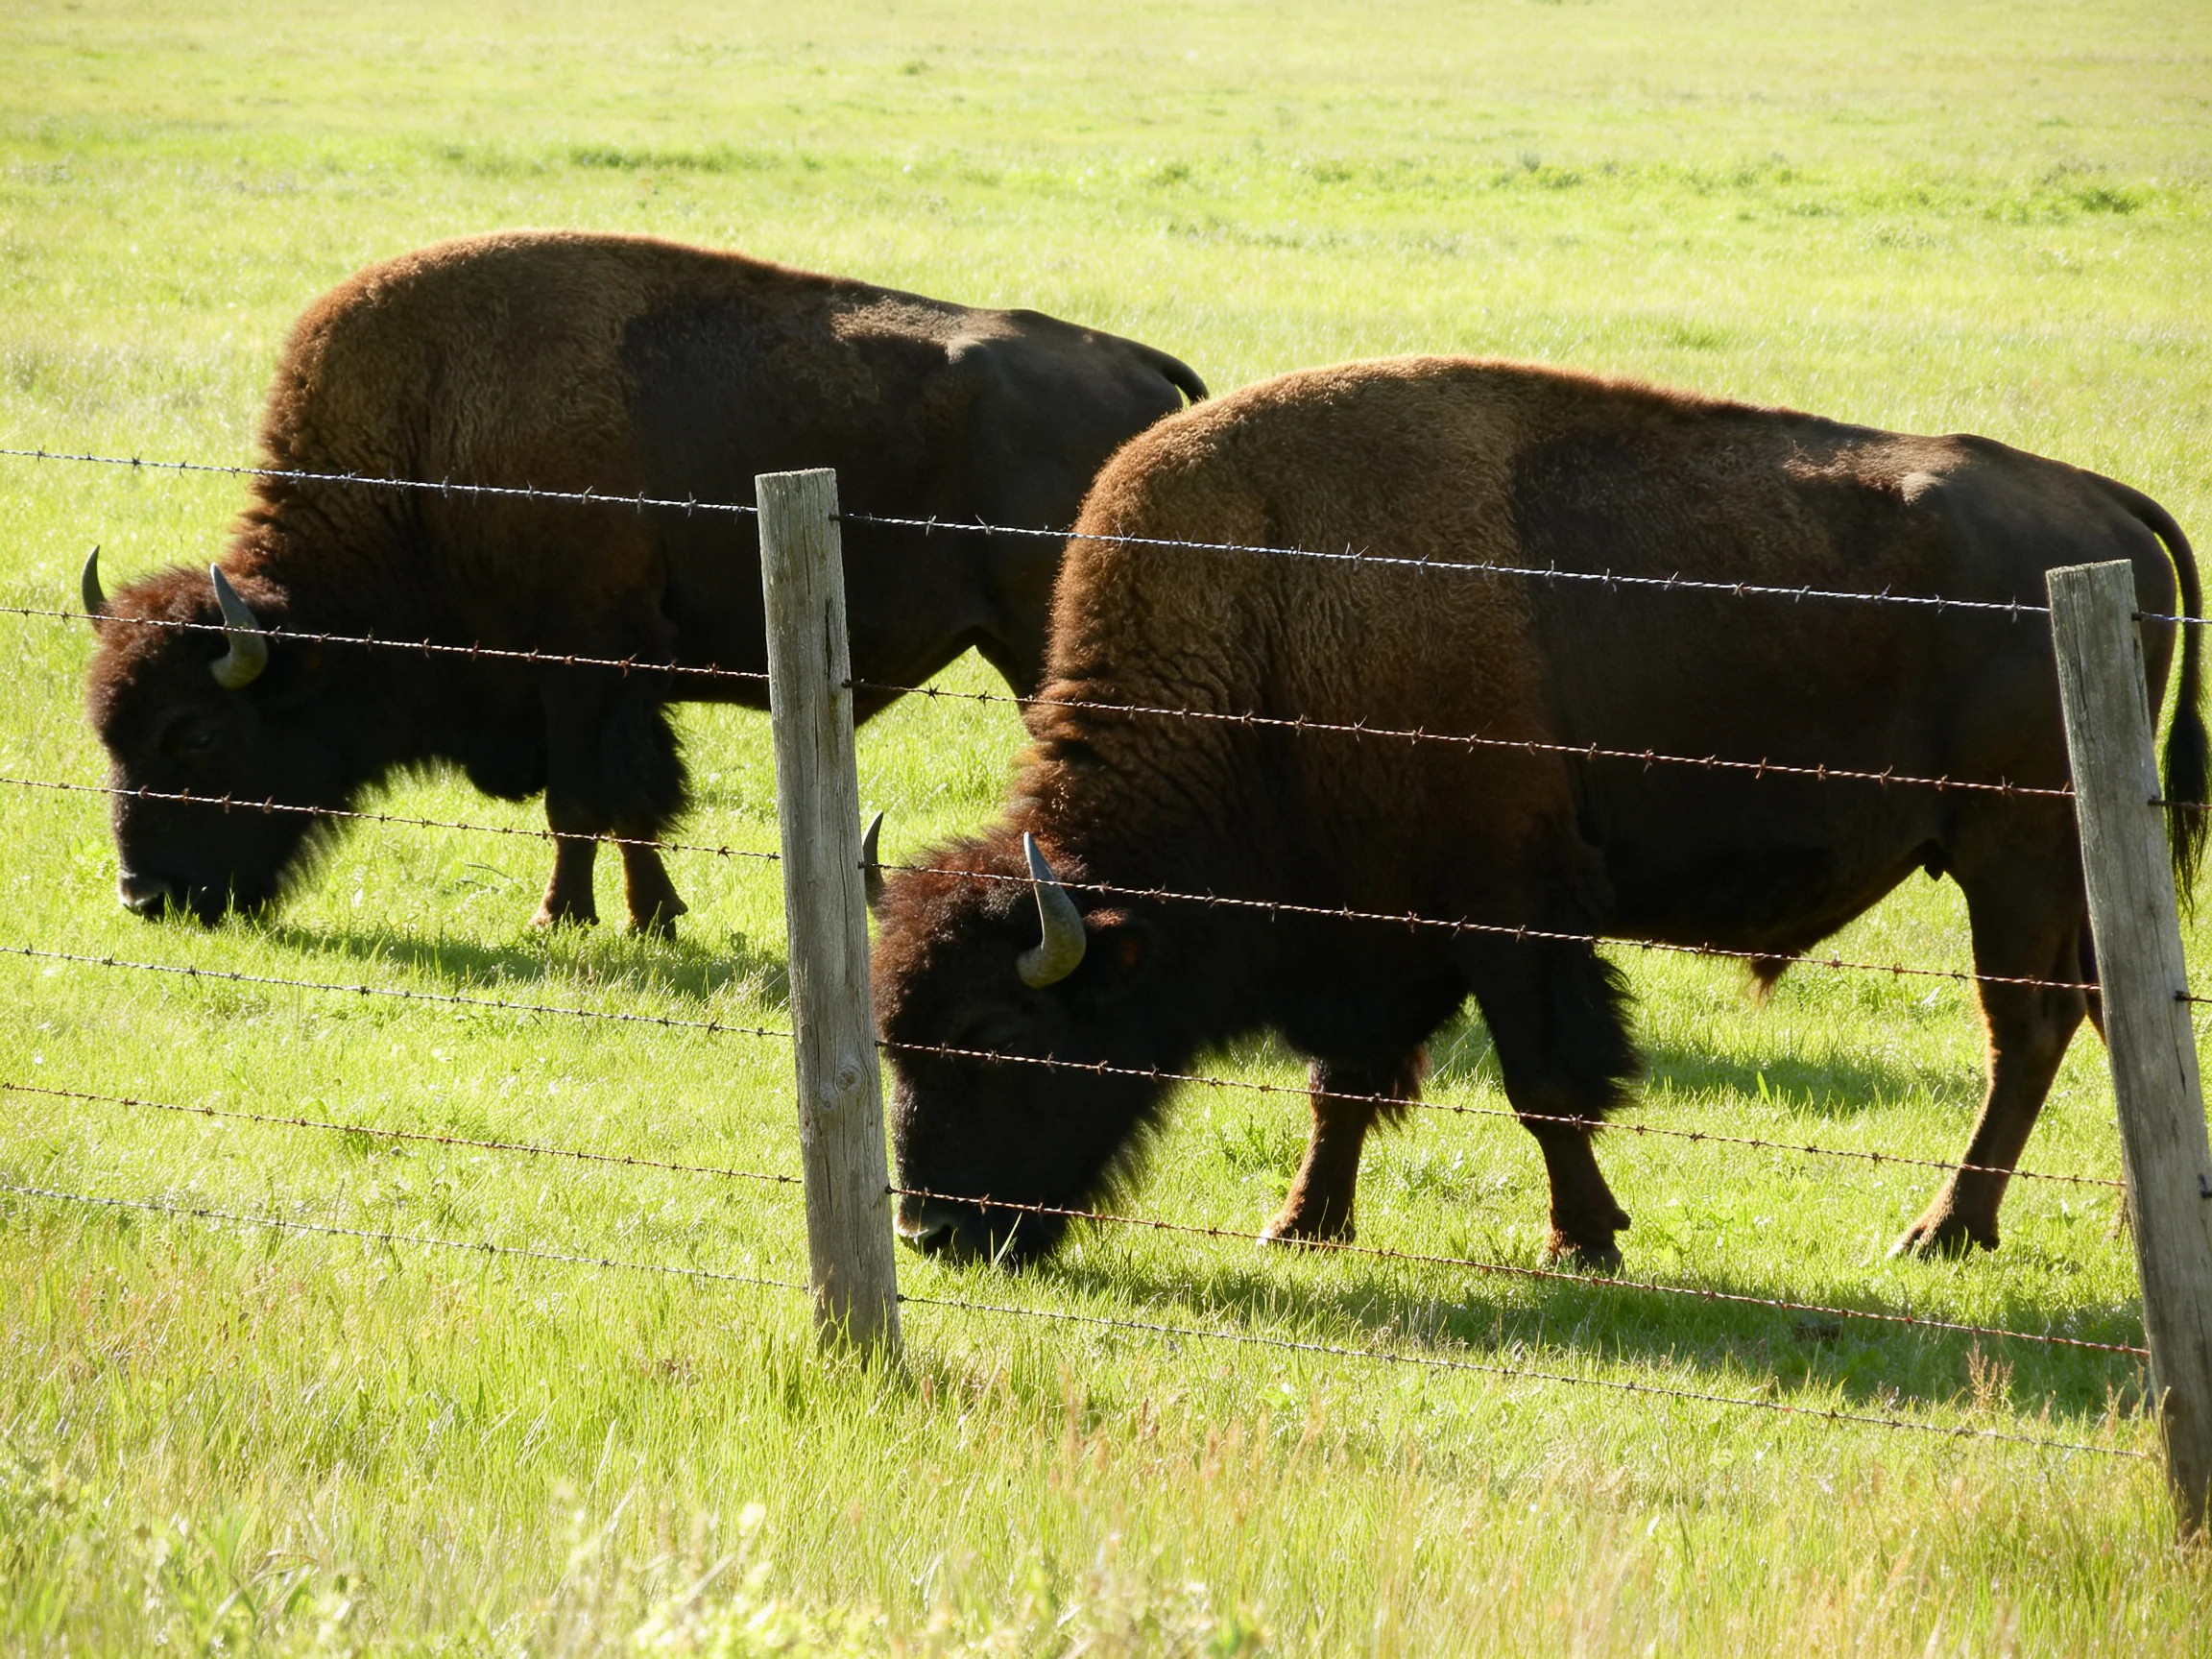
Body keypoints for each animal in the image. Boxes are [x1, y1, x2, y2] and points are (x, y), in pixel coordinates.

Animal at [83, 229, 1204, 934]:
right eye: (109, 734)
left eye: (195, 734)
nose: (144, 896)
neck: (423, 451)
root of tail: (1140, 370)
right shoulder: (595, 685)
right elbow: (617, 805)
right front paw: (644, 917)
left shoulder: (587, 666)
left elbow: (590, 800)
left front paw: (571, 918)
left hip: (1045, 645)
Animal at [873, 355, 2206, 1268]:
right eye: (896, 1041)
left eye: (994, 1035)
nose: (934, 1232)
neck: (1273, 617)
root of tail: (2103, 512)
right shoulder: (1381, 929)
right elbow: (1344, 1084)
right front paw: (1301, 1225)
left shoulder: (1510, 914)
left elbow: (1543, 1083)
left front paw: (1586, 1239)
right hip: (2070, 864)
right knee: (2103, 1012)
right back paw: (2122, 1218)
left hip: (2015, 853)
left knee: (2026, 1028)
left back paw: (1942, 1230)